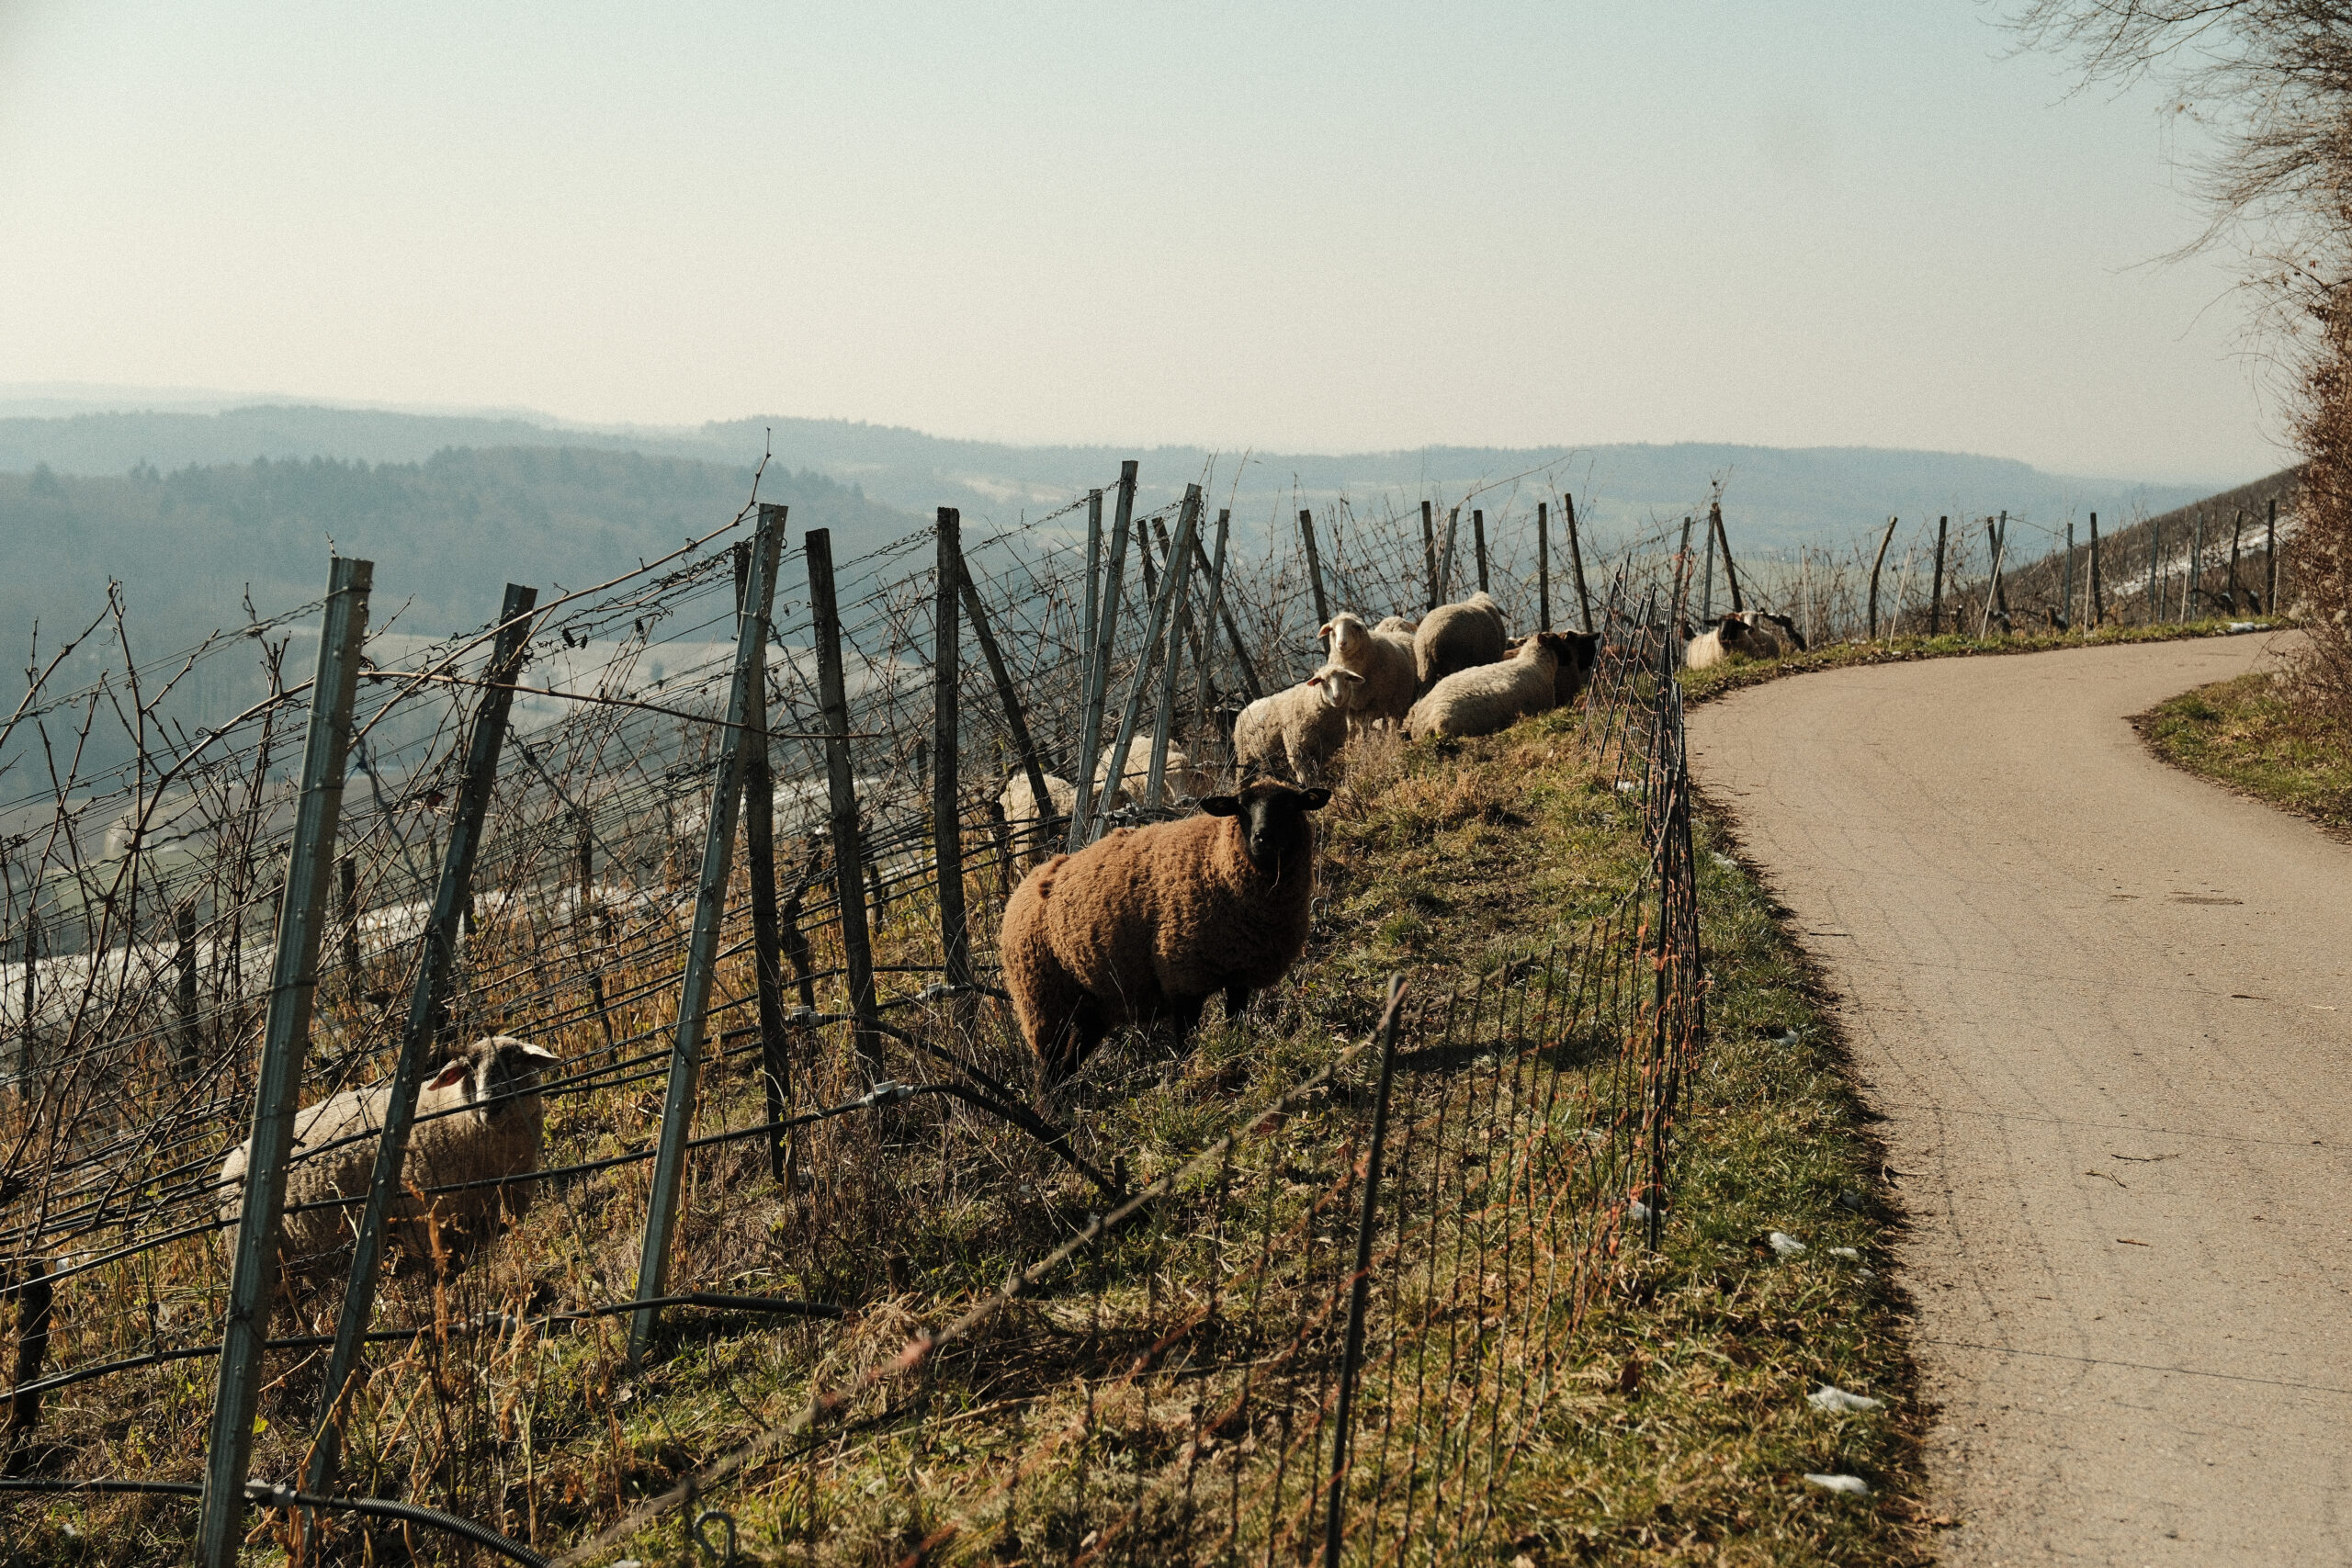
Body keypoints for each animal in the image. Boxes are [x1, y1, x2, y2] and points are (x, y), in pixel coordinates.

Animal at [217, 1034, 557, 1283]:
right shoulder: (423, 1224)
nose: (490, 1106)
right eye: (471, 1069)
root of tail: (231, 1159)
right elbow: (440, 1274)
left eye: (516, 1062)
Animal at [1000, 779, 1329, 1086]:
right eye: (1241, 808)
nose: (1263, 838)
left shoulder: (1239, 973)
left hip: (1091, 1008)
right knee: (1047, 1072)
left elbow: (1235, 1024)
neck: (1216, 860)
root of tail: (1021, 891)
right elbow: (1186, 1044)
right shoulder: (1182, 978)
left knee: (1064, 1070)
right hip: (1042, 1003)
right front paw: (1189, 1081)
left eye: (1290, 805)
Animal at [1232, 667, 1367, 785]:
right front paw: (1306, 786)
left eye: (1346, 678)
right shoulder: (1296, 749)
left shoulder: (1323, 751)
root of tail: (1244, 710)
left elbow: (1317, 773)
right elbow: (1304, 776)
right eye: (1323, 681)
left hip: (1269, 758)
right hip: (1244, 755)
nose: (1337, 697)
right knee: (1242, 777)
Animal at [1319, 612, 1418, 734]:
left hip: (1399, 703)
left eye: (1354, 626)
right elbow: (1352, 728)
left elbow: (1365, 728)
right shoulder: (1350, 706)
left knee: (1394, 723)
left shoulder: (1375, 704)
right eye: (1332, 628)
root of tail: (1395, 623)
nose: (1341, 643)